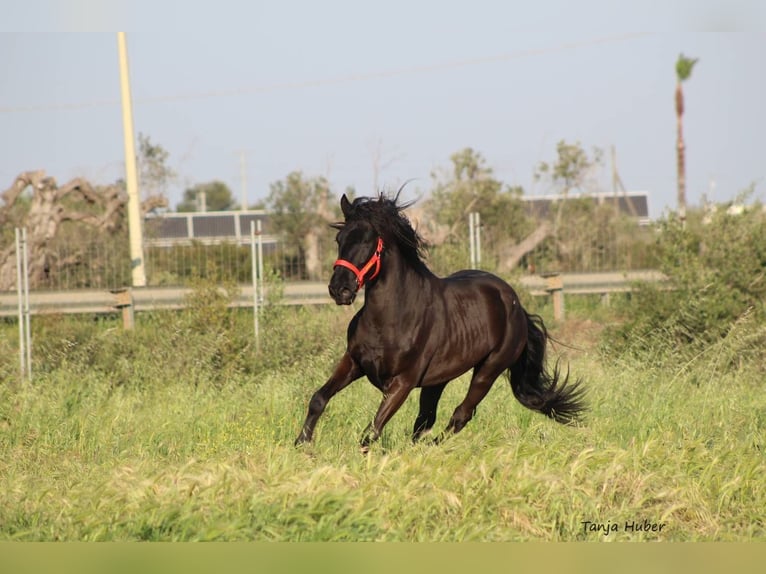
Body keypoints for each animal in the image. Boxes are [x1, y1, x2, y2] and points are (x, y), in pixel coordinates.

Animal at [296, 194, 584, 450]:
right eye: (340, 239)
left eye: (368, 241)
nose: (339, 289)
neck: (391, 319)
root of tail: (516, 305)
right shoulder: (354, 362)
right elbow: (319, 398)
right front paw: (301, 444)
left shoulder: (402, 382)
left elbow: (372, 430)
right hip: (437, 381)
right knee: (425, 420)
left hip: (488, 370)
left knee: (460, 415)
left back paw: (433, 448)